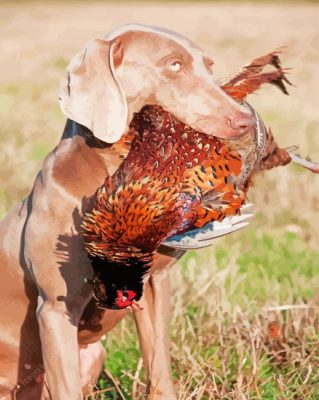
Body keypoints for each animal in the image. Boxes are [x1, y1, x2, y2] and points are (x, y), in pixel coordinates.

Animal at [0, 23, 255, 398]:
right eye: (174, 65)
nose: (246, 119)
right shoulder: (56, 308)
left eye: (209, 66)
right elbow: (67, 387)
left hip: (93, 354)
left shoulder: (155, 283)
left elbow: (159, 369)